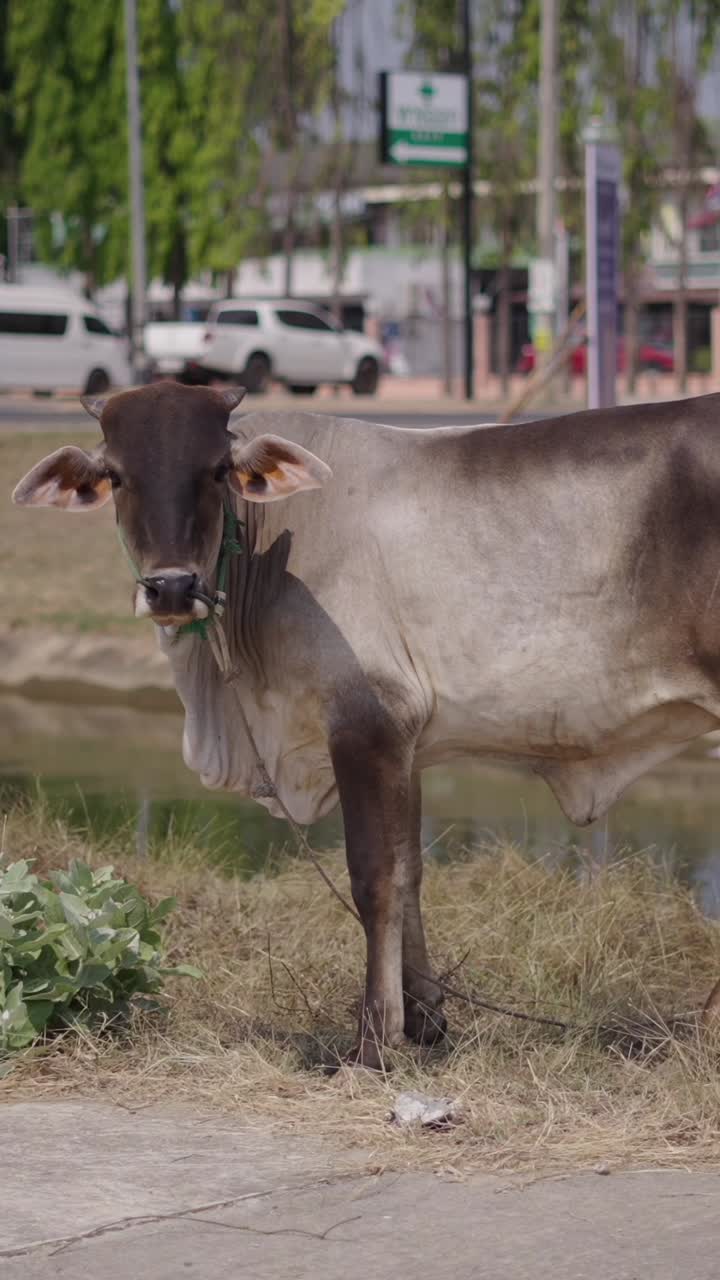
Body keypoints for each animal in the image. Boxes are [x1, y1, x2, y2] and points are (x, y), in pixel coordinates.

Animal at [12, 381, 720, 1067]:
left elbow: (375, 878)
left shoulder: (366, 725)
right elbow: (410, 873)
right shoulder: (405, 747)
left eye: (216, 470)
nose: (171, 588)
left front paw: (375, 1039)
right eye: (118, 475)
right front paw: (427, 1021)